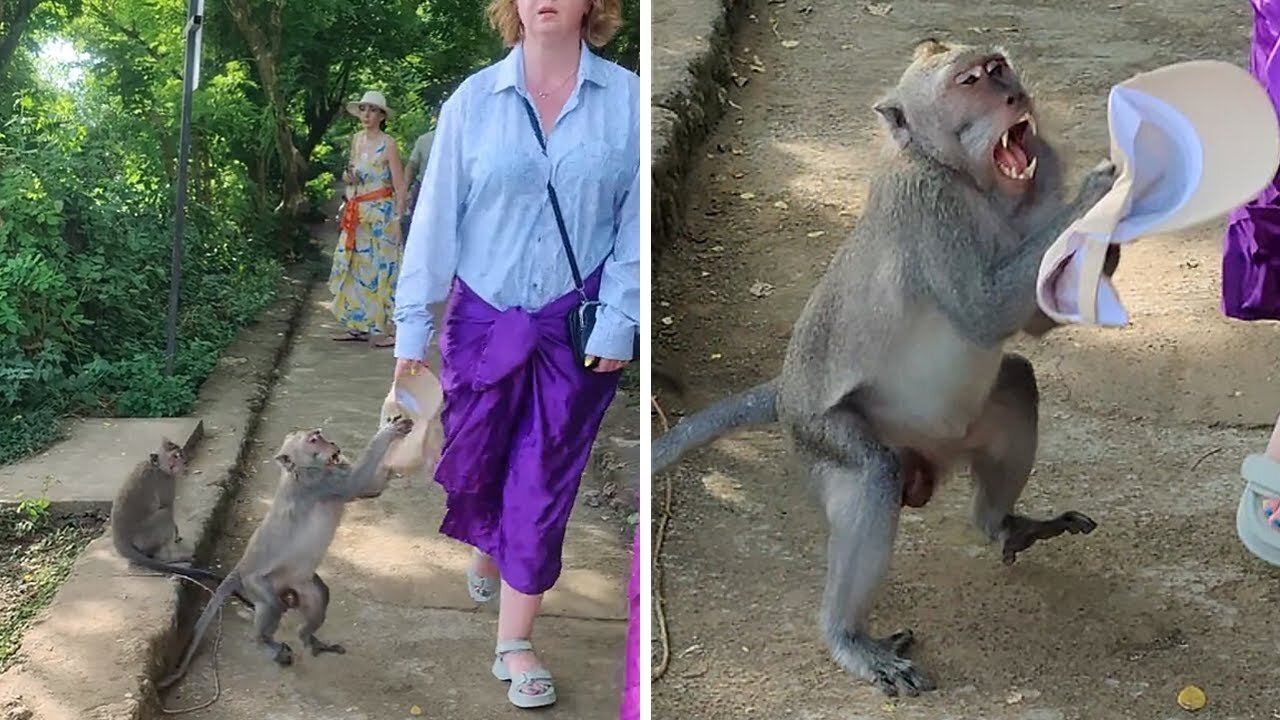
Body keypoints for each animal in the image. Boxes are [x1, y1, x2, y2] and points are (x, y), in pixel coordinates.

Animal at [156, 415, 412, 691]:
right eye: (314, 440)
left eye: (320, 434)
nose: (332, 444)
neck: (302, 470)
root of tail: (239, 568)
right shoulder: (319, 483)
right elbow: (357, 482)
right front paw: (389, 432)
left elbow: (372, 488)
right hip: (255, 583)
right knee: (272, 606)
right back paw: (265, 642)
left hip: (299, 583)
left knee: (320, 596)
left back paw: (309, 638)